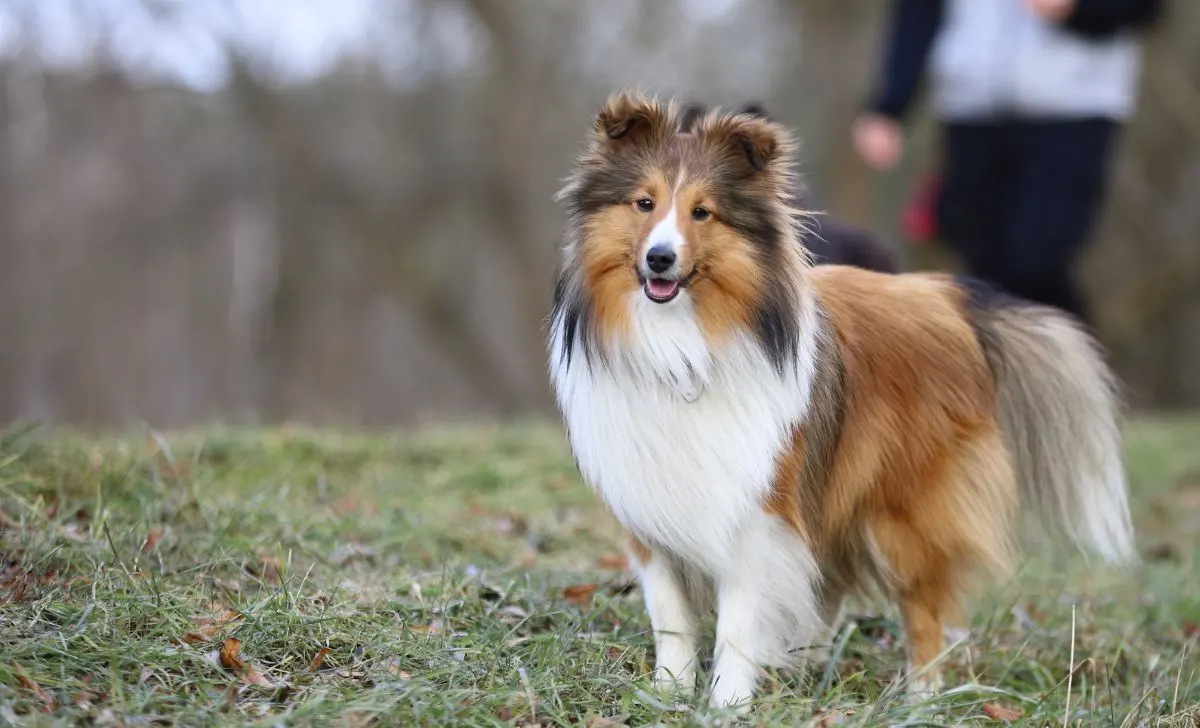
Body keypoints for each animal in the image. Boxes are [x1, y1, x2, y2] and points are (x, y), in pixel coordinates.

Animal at [549, 92, 1128, 710]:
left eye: (702, 212)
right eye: (644, 203)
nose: (659, 259)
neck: (683, 347)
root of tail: (944, 296)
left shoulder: (757, 508)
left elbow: (739, 619)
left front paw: (728, 704)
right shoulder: (651, 513)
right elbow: (672, 617)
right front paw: (668, 694)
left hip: (903, 516)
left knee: (923, 611)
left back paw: (920, 700)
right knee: (831, 586)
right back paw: (806, 667)